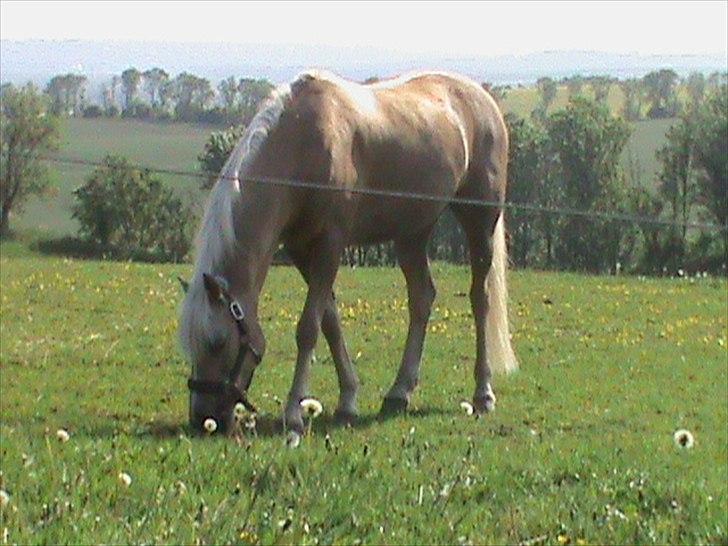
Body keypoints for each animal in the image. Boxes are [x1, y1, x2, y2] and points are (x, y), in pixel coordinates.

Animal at [179, 69, 518, 434]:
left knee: (480, 299)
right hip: (412, 233)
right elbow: (329, 321)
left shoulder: (330, 244)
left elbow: (308, 328)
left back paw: (483, 394)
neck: (302, 143)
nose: (203, 419)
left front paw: (294, 413)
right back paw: (399, 393)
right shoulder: (301, 250)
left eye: (217, 342)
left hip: (480, 221)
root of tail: (482, 97)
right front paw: (348, 401)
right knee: (422, 298)